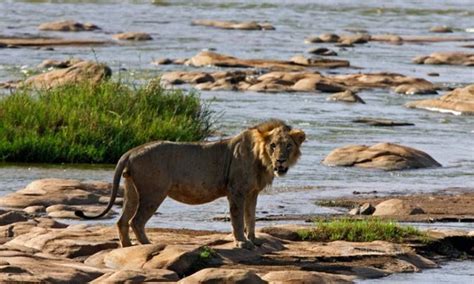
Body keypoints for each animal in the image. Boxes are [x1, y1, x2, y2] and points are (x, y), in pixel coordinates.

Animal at [74, 118, 304, 248]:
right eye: (273, 145)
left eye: (288, 146)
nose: (281, 160)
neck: (261, 159)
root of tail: (131, 151)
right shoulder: (236, 191)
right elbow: (238, 219)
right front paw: (241, 242)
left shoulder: (252, 193)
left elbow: (251, 217)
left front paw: (254, 240)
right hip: (153, 192)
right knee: (136, 221)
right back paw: (148, 244)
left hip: (132, 191)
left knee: (122, 220)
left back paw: (129, 246)